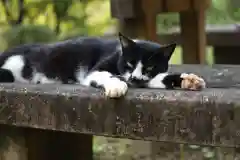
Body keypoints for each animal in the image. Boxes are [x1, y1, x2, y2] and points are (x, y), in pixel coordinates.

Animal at [0, 32, 205, 97]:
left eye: (150, 67)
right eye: (129, 63)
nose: (135, 77)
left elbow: (158, 79)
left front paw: (189, 80)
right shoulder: (98, 68)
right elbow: (108, 75)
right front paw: (116, 86)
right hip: (14, 67)